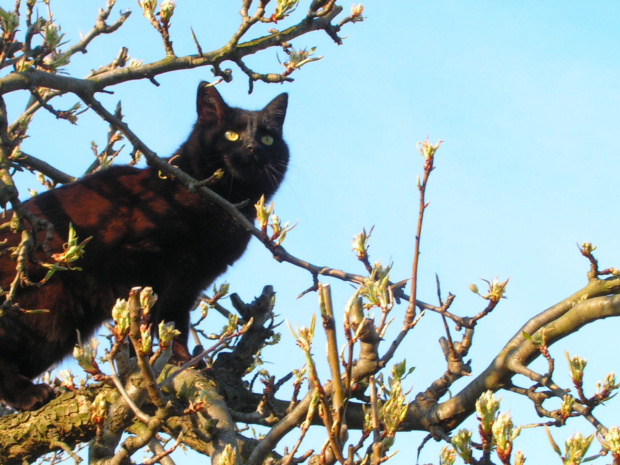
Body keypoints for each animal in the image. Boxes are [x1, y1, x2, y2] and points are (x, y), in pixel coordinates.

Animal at [0, 81, 288, 408]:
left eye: (267, 138)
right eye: (232, 135)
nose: (253, 148)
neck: (222, 204)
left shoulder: (188, 282)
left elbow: (175, 324)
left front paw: (184, 362)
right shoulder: (136, 263)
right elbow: (144, 320)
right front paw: (145, 361)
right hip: (42, 302)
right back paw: (29, 394)